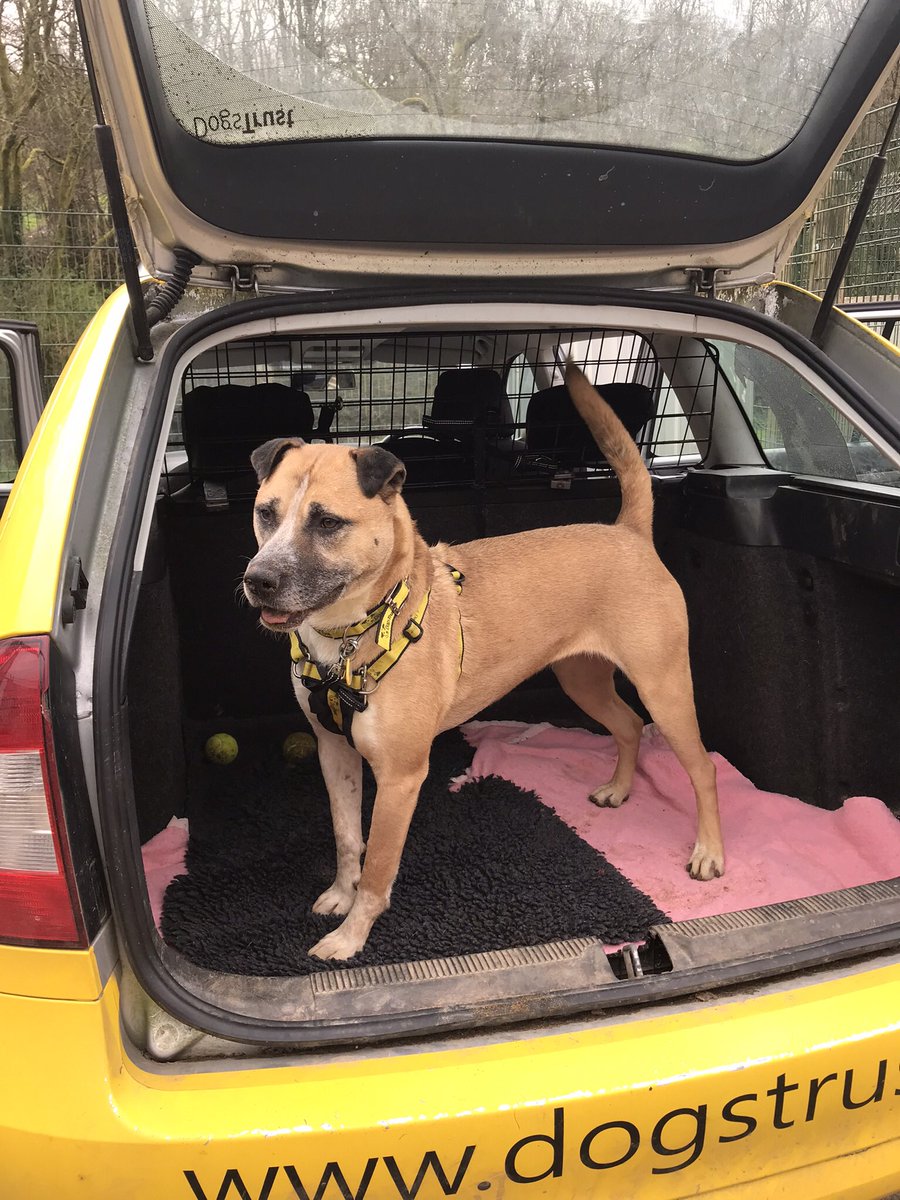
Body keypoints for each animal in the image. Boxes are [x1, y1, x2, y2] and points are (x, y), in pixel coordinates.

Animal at [244, 360, 724, 960]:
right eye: (265, 513)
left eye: (328, 522)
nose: (257, 580)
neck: (354, 632)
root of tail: (628, 532)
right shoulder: (336, 754)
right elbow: (347, 837)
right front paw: (339, 894)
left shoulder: (401, 778)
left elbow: (379, 866)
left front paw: (352, 935)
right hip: (582, 680)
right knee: (629, 725)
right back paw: (618, 788)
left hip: (664, 687)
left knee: (702, 766)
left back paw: (709, 852)